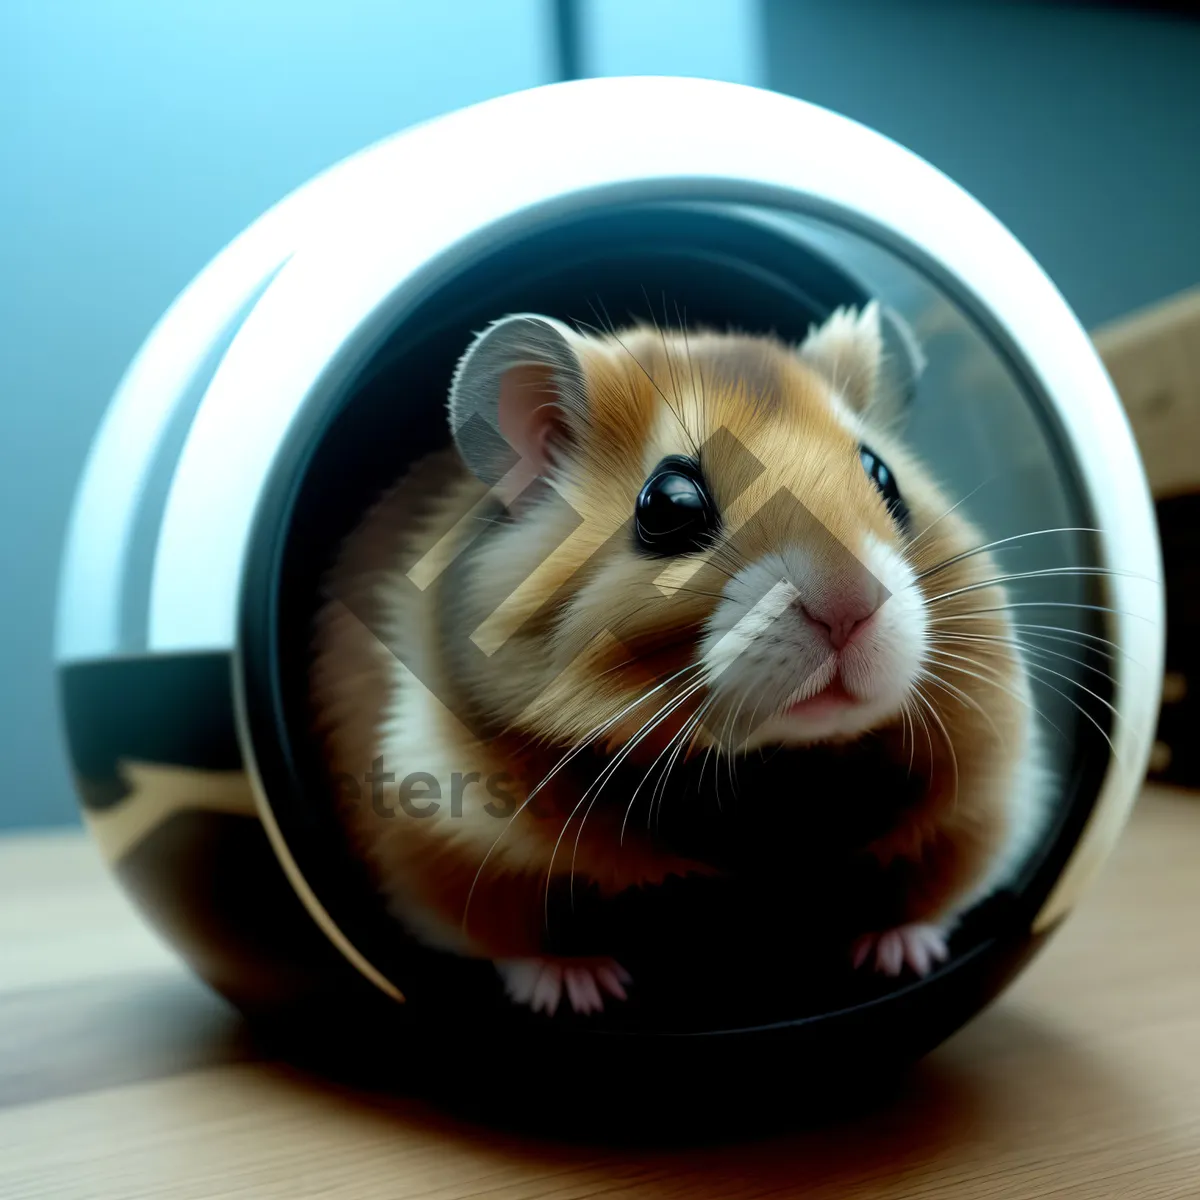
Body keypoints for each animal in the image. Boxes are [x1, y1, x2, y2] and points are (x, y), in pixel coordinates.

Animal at [312, 304, 1051, 1017]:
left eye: (882, 475)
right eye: (670, 504)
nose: (851, 606)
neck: (769, 771)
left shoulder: (980, 800)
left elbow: (934, 892)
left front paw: (901, 958)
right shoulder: (440, 827)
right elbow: (507, 930)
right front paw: (581, 992)